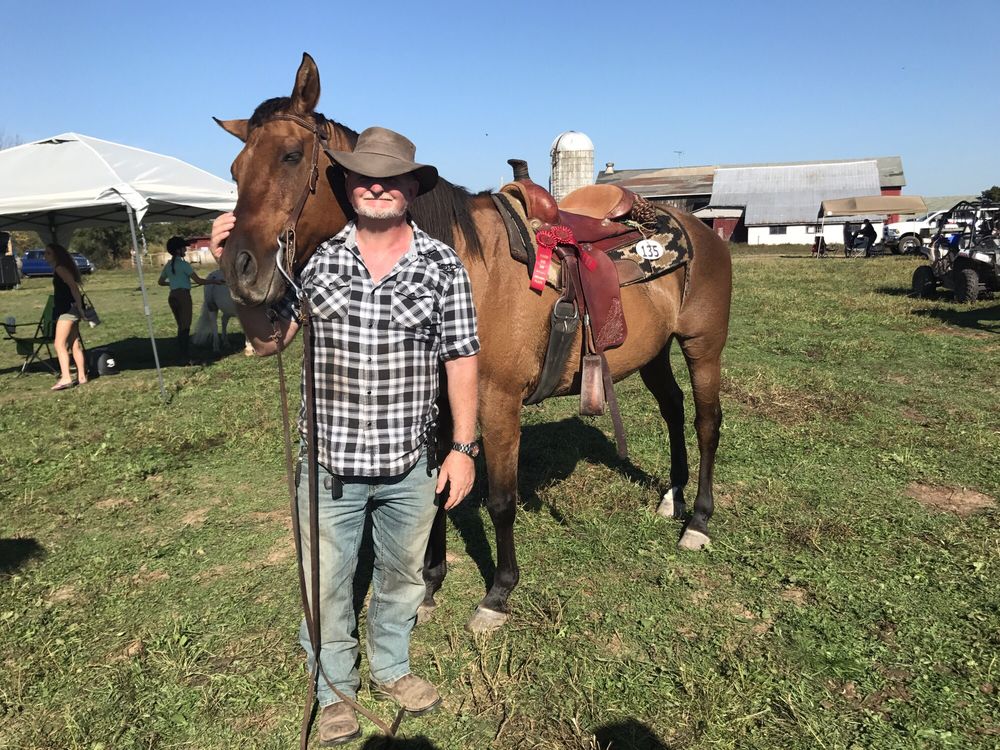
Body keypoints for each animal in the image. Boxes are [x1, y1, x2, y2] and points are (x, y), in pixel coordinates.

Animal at [215, 53, 732, 633]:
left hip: (702, 346)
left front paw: (498, 593)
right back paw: (672, 497)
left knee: (706, 421)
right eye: (235, 170)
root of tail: (696, 226)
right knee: (673, 409)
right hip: (654, 353)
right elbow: (436, 490)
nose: (240, 270)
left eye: (291, 154)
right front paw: (429, 583)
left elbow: (501, 499)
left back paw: (698, 520)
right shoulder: (439, 402)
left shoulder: (498, 402)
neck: (468, 268)